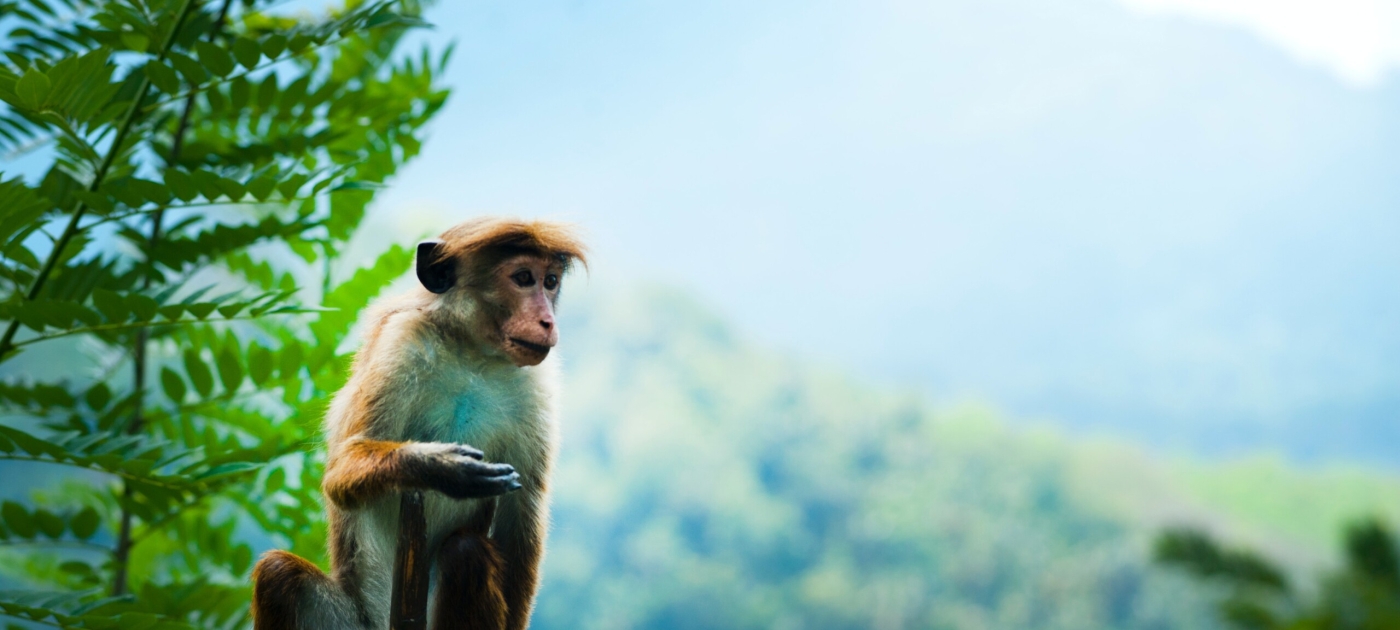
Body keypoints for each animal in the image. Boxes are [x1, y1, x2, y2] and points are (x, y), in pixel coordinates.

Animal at [250, 218, 587, 630]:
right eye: (523, 278)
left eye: (550, 281)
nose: (547, 321)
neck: (472, 354)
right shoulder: (401, 342)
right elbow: (340, 472)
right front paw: (440, 466)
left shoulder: (536, 385)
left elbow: (520, 517)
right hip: (350, 619)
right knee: (279, 572)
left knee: (465, 550)